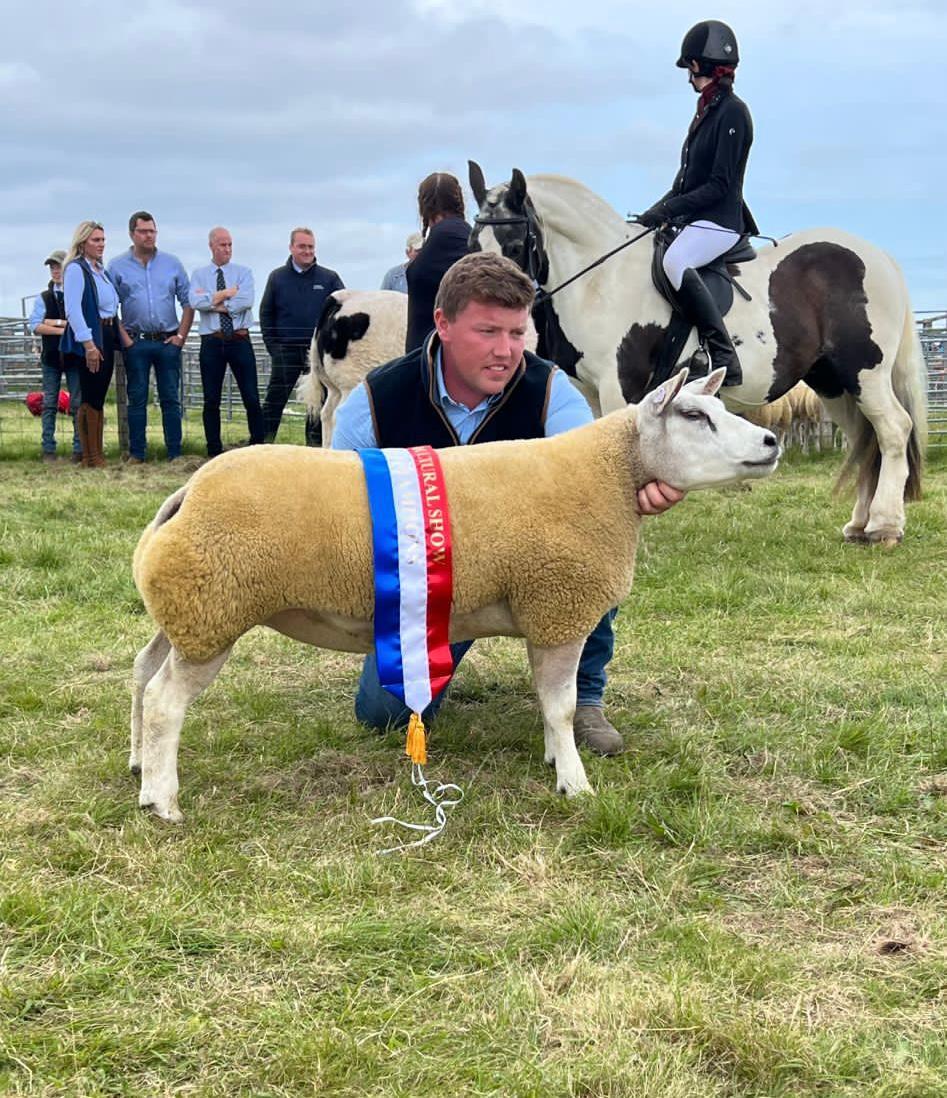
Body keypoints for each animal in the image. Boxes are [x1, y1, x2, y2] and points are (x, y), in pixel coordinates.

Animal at [129, 368, 777, 825]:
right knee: (165, 700)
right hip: (212, 610)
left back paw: (137, 763)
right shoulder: (560, 603)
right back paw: (162, 800)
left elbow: (553, 704)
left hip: (186, 613)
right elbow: (563, 706)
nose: (771, 441)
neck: (607, 474)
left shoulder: (545, 611)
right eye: (693, 414)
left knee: (141, 672)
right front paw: (575, 783)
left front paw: (554, 756)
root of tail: (188, 493)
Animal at [468, 160, 927, 546]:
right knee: (865, 437)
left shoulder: (620, 387)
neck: (602, 281)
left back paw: (885, 526)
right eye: (475, 239)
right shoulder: (589, 392)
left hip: (864, 373)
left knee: (892, 430)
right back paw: (860, 523)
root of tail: (877, 256)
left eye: (514, 243)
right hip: (831, 381)